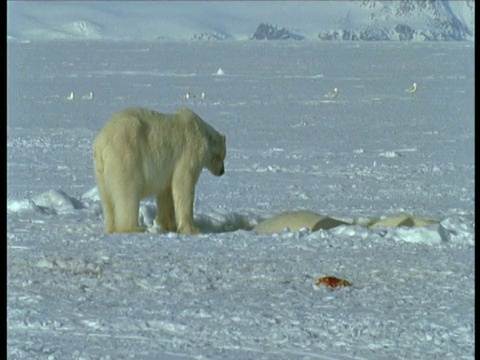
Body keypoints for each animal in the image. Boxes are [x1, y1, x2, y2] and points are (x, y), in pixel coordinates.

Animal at [94, 107, 229, 235]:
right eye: (222, 156)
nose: (222, 171)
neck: (202, 134)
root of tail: (101, 145)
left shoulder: (168, 170)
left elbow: (167, 193)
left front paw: (168, 226)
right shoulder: (189, 153)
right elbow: (183, 185)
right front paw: (192, 229)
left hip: (101, 172)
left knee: (107, 198)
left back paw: (111, 227)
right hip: (126, 156)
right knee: (128, 192)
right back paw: (134, 228)